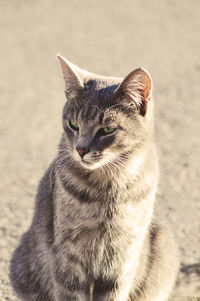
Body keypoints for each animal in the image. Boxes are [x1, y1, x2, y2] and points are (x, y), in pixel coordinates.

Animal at [9, 54, 179, 300]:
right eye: (73, 125)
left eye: (107, 130)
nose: (81, 150)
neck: (108, 186)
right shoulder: (68, 257)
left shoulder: (122, 260)